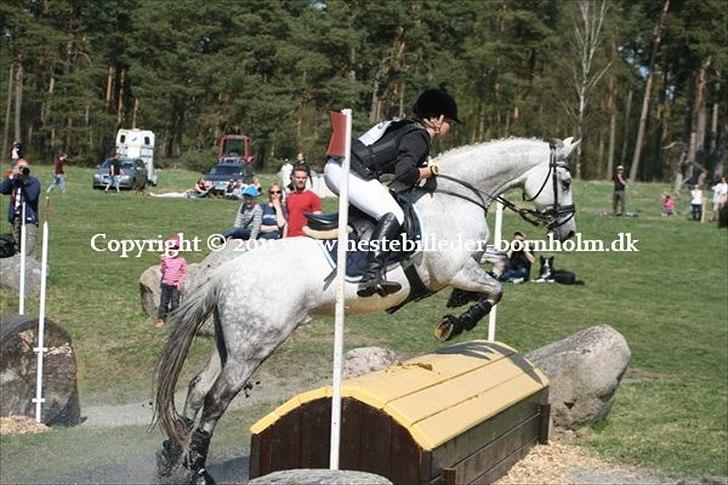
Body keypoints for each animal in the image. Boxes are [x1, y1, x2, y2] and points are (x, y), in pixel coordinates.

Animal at [154, 135, 580, 480]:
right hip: (255, 344)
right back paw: (196, 470)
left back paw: (173, 458)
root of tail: (226, 272)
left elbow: (501, 263)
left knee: (197, 388)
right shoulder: (454, 269)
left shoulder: (468, 263)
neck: (452, 199)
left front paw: (459, 304)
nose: (568, 232)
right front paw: (455, 323)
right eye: (566, 181)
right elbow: (495, 290)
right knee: (216, 399)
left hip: (230, 340)